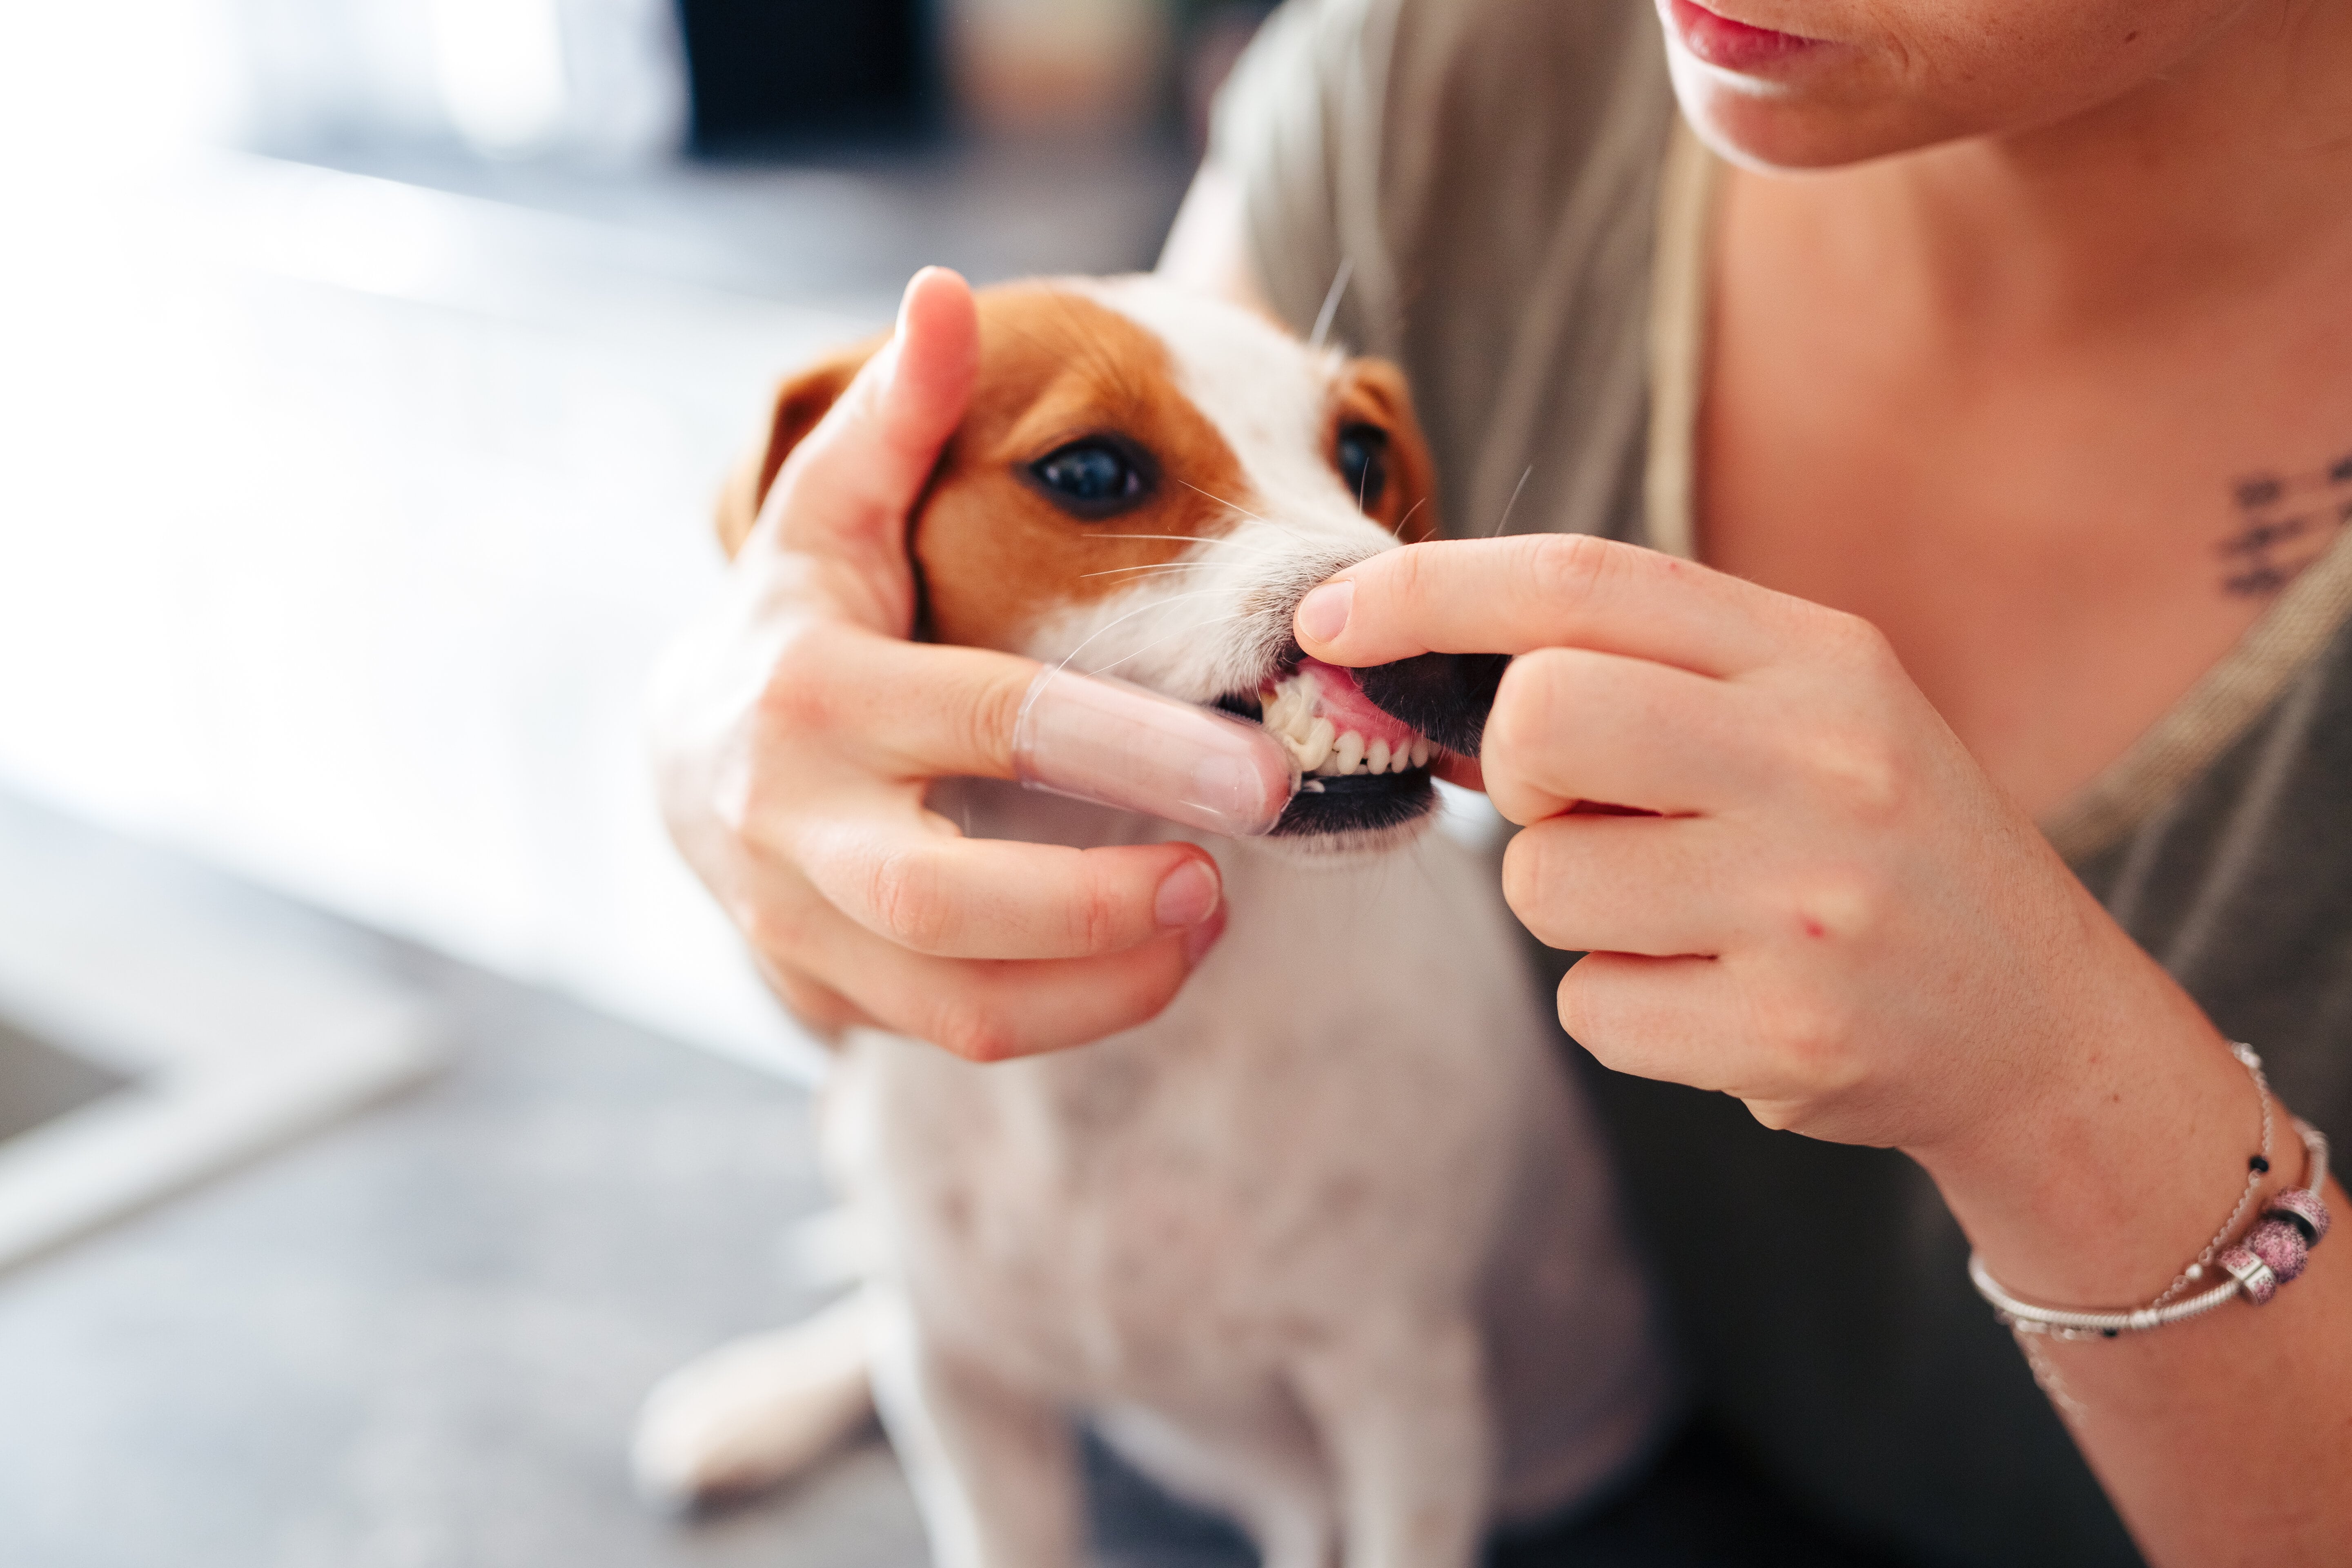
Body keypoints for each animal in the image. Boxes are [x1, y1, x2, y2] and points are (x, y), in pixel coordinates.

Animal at [644, 278, 1675, 1568]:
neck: (1118, 1067)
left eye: (1359, 450)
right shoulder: (960, 1386)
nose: (1456, 650)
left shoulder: (1408, 1401)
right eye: (1090, 472)